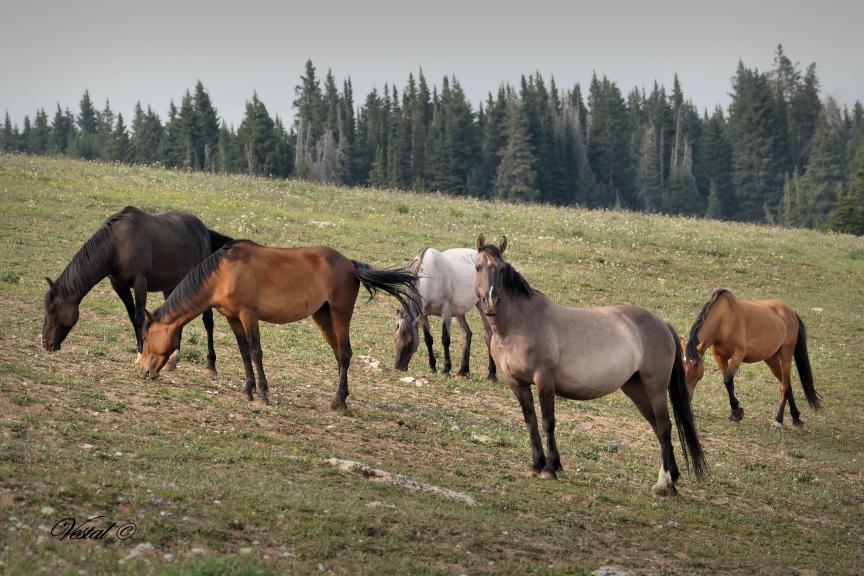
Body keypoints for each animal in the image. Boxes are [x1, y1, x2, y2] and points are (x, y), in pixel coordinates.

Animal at [138, 240, 418, 410]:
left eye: (146, 338)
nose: (143, 371)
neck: (223, 273)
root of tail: (349, 262)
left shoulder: (249, 316)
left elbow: (255, 352)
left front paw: (262, 393)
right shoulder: (232, 318)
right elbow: (243, 353)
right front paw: (248, 390)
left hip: (340, 314)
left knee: (346, 354)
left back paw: (338, 401)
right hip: (322, 316)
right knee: (339, 355)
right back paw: (342, 398)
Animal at [394, 245, 496, 380]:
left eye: (410, 341)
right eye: (395, 338)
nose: (398, 367)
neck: (431, 276)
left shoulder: (445, 311)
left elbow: (445, 339)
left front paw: (446, 369)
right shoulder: (423, 314)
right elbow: (428, 339)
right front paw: (433, 367)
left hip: (482, 305)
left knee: (489, 334)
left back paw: (492, 375)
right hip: (459, 312)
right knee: (467, 334)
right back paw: (463, 371)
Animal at [472, 234, 708, 496]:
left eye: (502, 270)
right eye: (478, 266)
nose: (491, 303)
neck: (520, 324)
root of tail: (663, 324)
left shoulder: (544, 380)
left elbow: (547, 422)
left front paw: (550, 468)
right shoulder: (517, 383)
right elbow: (530, 421)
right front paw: (537, 465)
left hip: (655, 387)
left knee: (665, 427)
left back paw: (663, 484)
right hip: (635, 388)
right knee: (658, 427)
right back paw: (673, 478)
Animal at [680, 290, 816, 430]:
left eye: (695, 365)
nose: (685, 396)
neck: (723, 320)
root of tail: (791, 313)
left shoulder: (738, 355)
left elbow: (728, 380)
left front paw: (737, 412)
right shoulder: (720, 357)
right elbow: (729, 382)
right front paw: (735, 411)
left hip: (786, 355)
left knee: (784, 386)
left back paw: (778, 421)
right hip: (771, 359)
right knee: (787, 384)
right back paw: (796, 418)